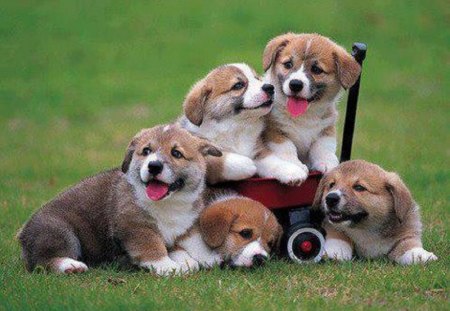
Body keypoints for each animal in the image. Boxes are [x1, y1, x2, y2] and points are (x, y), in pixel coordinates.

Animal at [179, 62, 310, 185]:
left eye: (257, 78)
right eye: (238, 85)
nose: (270, 87)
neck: (236, 126)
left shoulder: (258, 151)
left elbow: (275, 162)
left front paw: (293, 172)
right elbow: (220, 161)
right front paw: (248, 164)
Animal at [262, 33, 360, 176]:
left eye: (316, 69)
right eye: (288, 64)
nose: (295, 84)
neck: (304, 115)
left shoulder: (326, 129)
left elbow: (323, 147)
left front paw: (327, 163)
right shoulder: (274, 131)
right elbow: (287, 148)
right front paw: (295, 166)